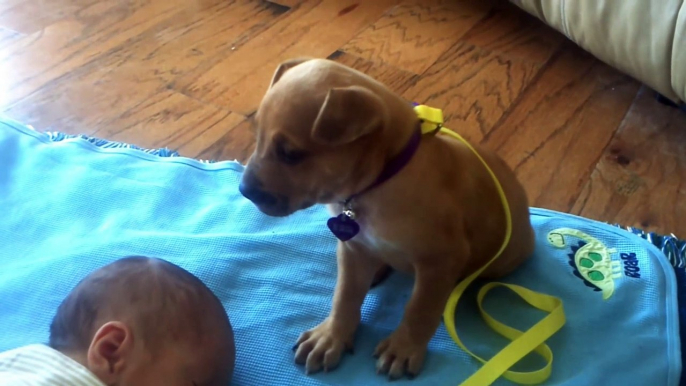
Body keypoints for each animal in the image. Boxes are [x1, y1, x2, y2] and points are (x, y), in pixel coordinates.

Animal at [242, 58, 536, 380]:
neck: (379, 181)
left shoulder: (441, 259)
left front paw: (404, 348)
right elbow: (344, 296)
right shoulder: (353, 247)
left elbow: (420, 309)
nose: (243, 191)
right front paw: (330, 337)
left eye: (291, 154)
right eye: (256, 136)